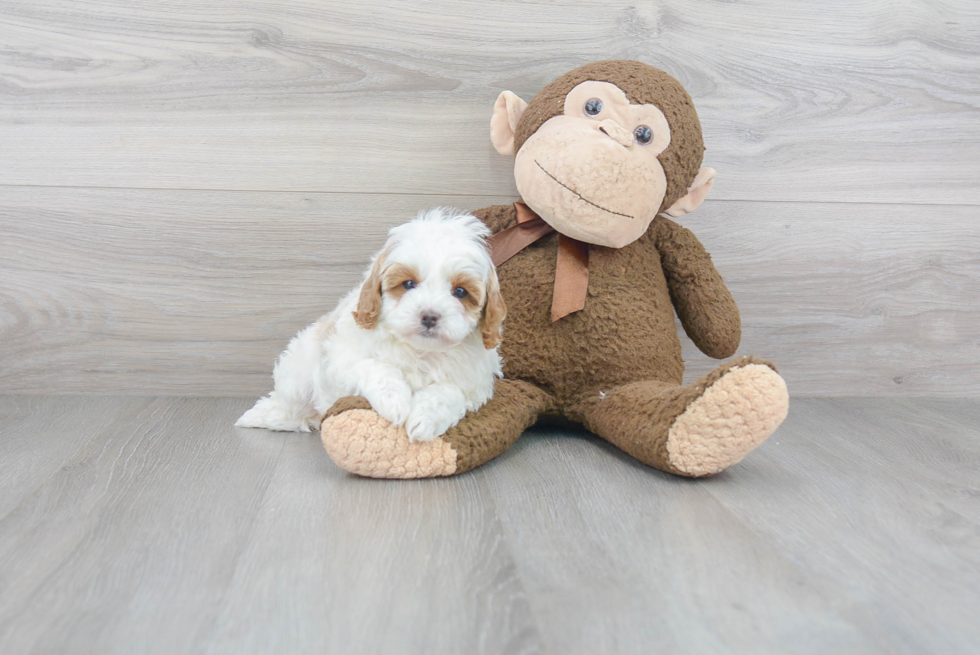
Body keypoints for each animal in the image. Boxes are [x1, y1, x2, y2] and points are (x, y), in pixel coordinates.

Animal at [236, 209, 506, 446]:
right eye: (408, 284)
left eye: (460, 291)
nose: (429, 316)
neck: (421, 351)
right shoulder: (341, 359)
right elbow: (376, 367)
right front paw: (395, 401)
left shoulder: (474, 384)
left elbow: (449, 391)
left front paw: (424, 417)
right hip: (299, 374)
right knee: (291, 406)